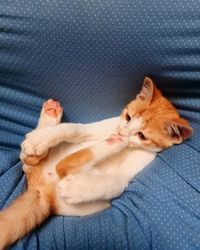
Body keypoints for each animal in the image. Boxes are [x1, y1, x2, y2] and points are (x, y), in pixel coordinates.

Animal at [0, 77, 192, 249]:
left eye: (142, 135)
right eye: (128, 117)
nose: (120, 133)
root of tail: (39, 190)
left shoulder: (134, 167)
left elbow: (115, 182)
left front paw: (77, 188)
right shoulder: (100, 127)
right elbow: (73, 128)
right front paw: (42, 138)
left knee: (63, 165)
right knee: (32, 160)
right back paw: (49, 120)